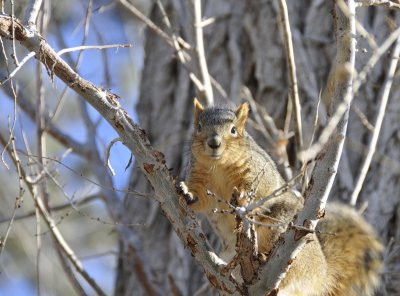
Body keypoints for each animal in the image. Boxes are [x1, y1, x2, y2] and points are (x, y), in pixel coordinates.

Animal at [180, 99, 382, 296]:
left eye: (233, 130)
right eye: (199, 127)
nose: (213, 143)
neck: (219, 166)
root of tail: (321, 275)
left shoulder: (259, 171)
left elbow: (261, 189)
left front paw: (245, 197)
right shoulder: (199, 178)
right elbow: (200, 199)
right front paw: (186, 192)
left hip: (278, 226)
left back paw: (264, 259)